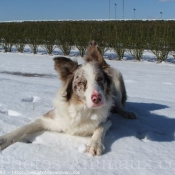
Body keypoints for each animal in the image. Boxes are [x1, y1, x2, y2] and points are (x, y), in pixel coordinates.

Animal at [0, 40, 136, 155]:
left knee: (119, 106)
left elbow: (100, 128)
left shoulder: (107, 120)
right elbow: (23, 127)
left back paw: (128, 113)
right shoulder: (47, 118)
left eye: (100, 79)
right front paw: (3, 139)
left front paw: (95, 145)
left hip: (117, 79)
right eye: (80, 82)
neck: (82, 109)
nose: (97, 99)